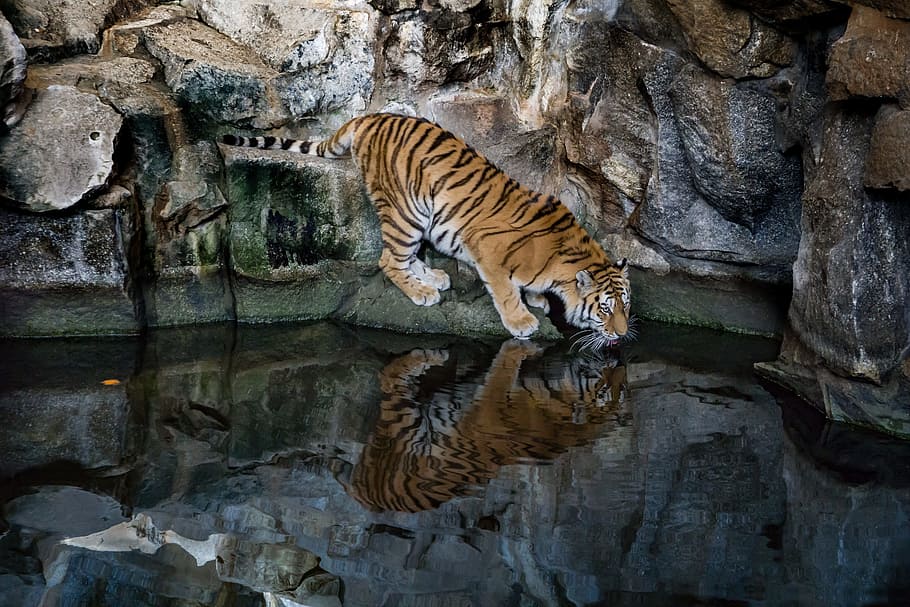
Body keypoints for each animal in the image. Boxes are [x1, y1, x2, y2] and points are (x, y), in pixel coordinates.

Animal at [222, 113, 632, 345]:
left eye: (626, 305)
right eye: (605, 308)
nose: (623, 333)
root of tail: (369, 117)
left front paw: (538, 299)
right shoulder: (487, 249)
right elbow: (504, 291)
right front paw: (522, 321)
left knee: (405, 255)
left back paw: (433, 276)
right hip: (407, 210)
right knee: (389, 259)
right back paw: (422, 292)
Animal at [335, 339, 628, 513]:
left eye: (622, 387)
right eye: (603, 389)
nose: (618, 358)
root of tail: (367, 497)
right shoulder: (492, 400)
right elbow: (504, 367)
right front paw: (522, 345)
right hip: (405, 425)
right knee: (389, 376)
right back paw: (432, 354)